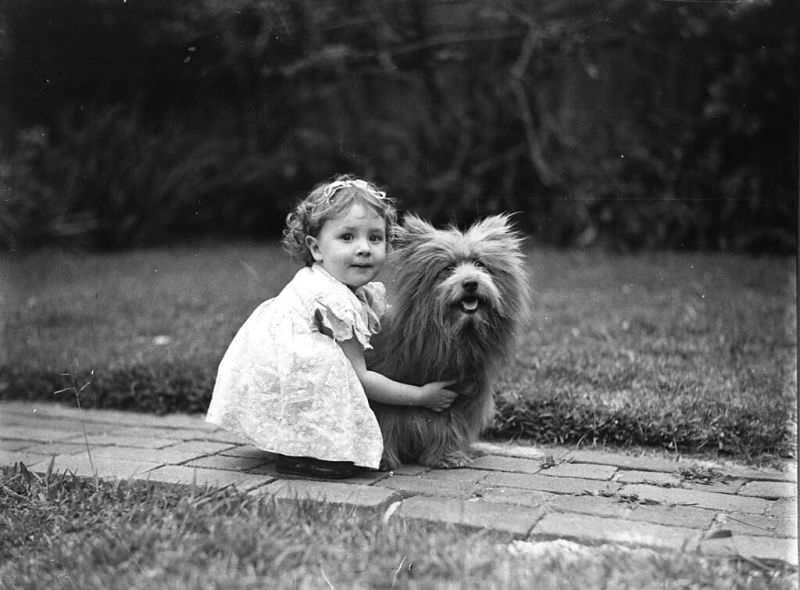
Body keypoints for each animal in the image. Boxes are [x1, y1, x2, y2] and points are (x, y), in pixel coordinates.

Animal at [368, 215, 532, 470]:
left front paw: (447, 456)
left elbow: (447, 425)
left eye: (480, 264)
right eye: (448, 268)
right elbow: (385, 422)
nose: (471, 283)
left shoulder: (459, 395)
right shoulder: (388, 390)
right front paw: (383, 459)